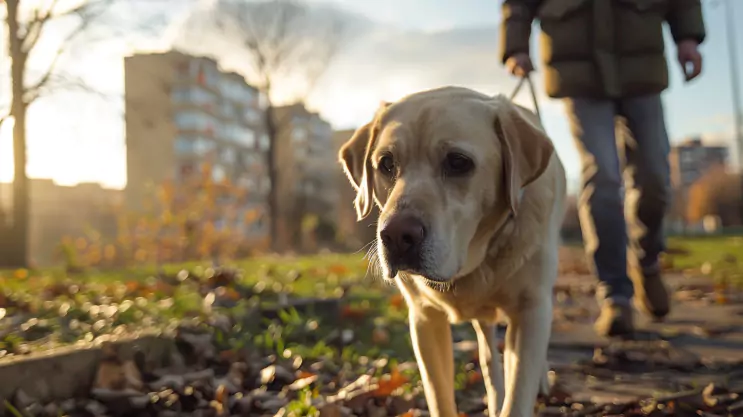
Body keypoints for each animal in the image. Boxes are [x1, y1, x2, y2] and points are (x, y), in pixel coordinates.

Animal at [340, 85, 568, 416]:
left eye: (458, 162)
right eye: (386, 164)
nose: (396, 236)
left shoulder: (531, 310)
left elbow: (518, 396)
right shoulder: (424, 318)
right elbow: (440, 395)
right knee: (488, 356)